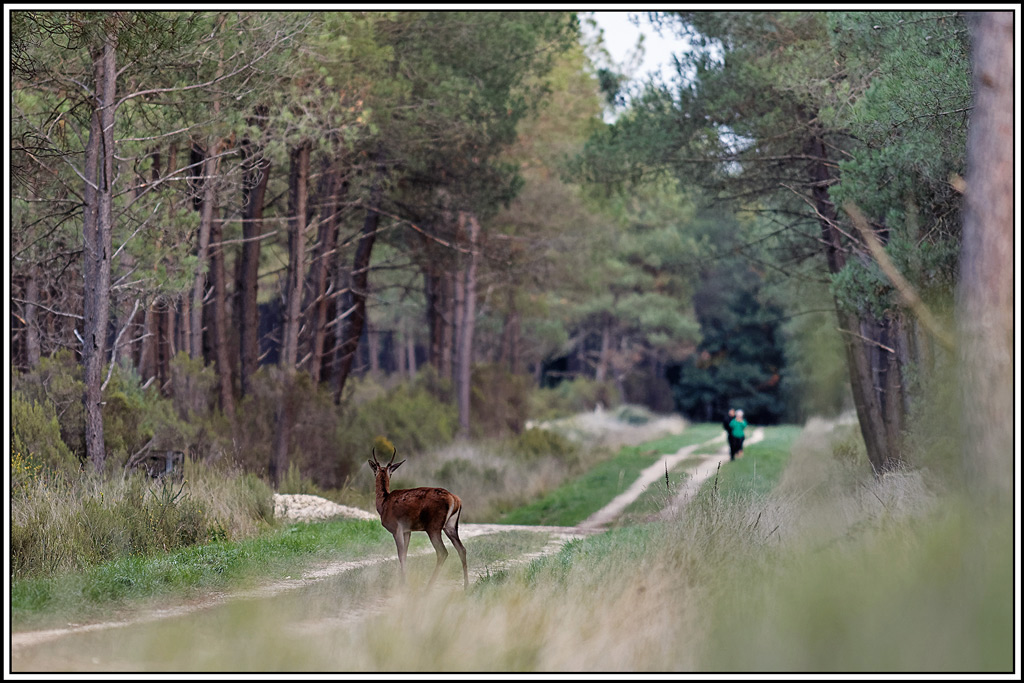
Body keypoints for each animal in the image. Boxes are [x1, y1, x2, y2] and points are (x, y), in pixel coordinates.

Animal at [368, 447, 469, 590]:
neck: (382, 504)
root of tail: (455, 500)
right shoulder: (407, 531)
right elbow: (405, 553)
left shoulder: (397, 528)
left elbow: (400, 554)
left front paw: (403, 584)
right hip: (450, 525)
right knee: (462, 549)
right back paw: (466, 586)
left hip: (433, 526)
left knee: (442, 552)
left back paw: (428, 587)